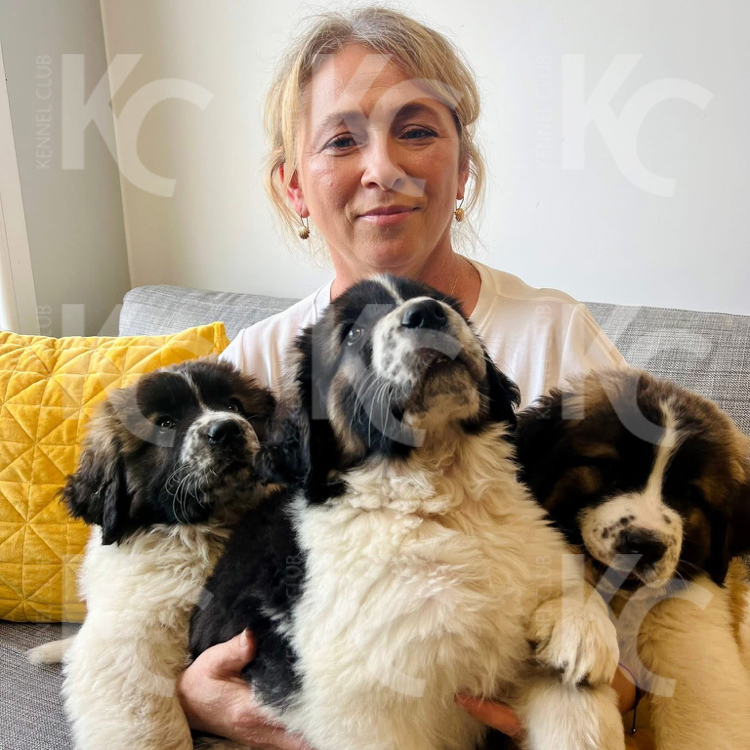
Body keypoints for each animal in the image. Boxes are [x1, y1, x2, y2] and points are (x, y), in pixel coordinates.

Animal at [28, 358, 276, 750]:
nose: (227, 430)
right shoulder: (128, 641)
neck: (203, 530)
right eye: (166, 424)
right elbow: (154, 726)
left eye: (234, 405)